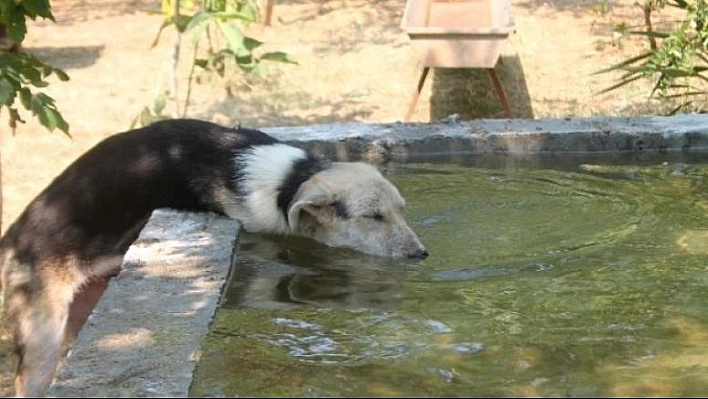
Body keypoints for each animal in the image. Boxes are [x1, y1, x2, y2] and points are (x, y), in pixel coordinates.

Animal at [0, 118, 426, 396]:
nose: (421, 254)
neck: (289, 183)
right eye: (374, 217)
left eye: (402, 210)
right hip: (42, 336)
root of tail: (11, 239)